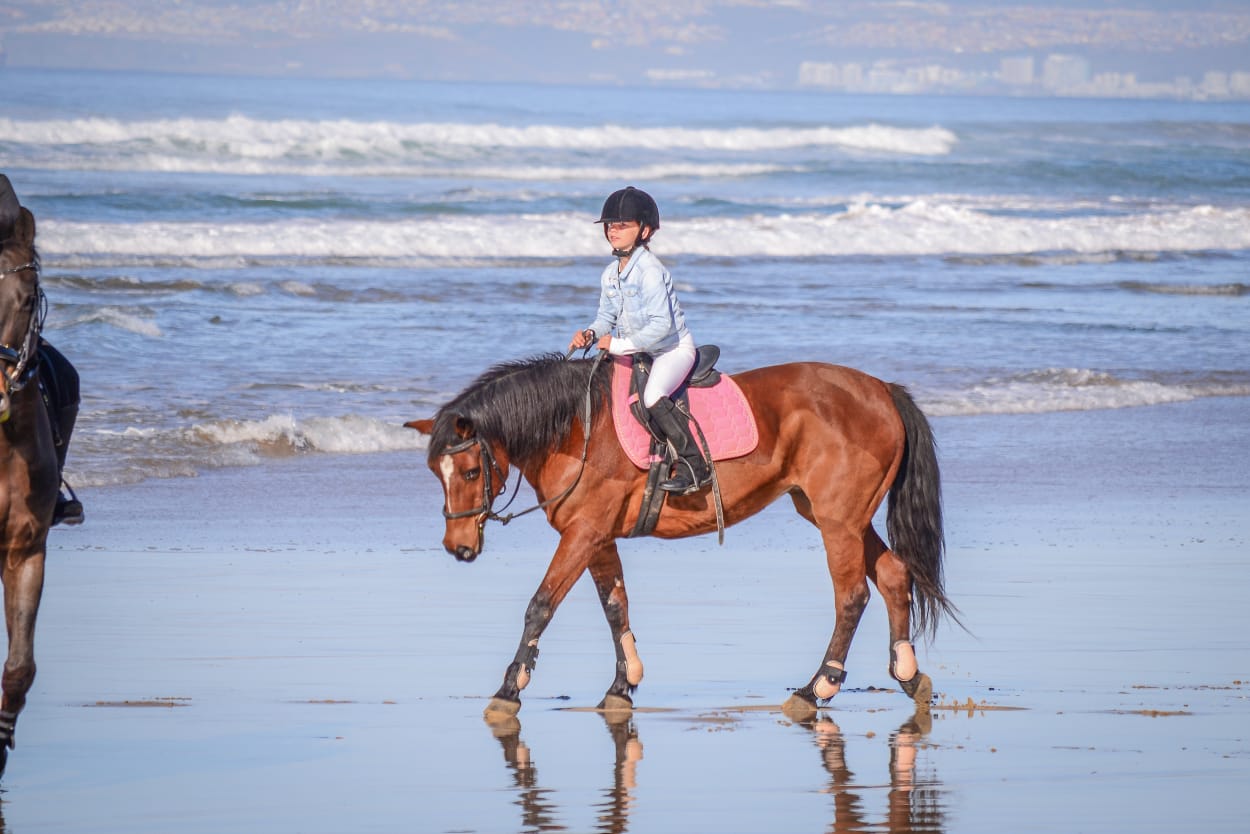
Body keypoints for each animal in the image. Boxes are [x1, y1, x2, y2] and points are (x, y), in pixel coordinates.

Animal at [406, 352, 957, 721]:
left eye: (471, 471)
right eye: (436, 471)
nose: (459, 548)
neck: (574, 428)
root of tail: (881, 388)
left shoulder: (584, 533)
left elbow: (540, 606)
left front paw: (508, 691)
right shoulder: (597, 537)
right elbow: (616, 607)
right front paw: (621, 687)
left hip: (838, 519)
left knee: (852, 595)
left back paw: (816, 688)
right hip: (835, 515)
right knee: (893, 574)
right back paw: (908, 674)